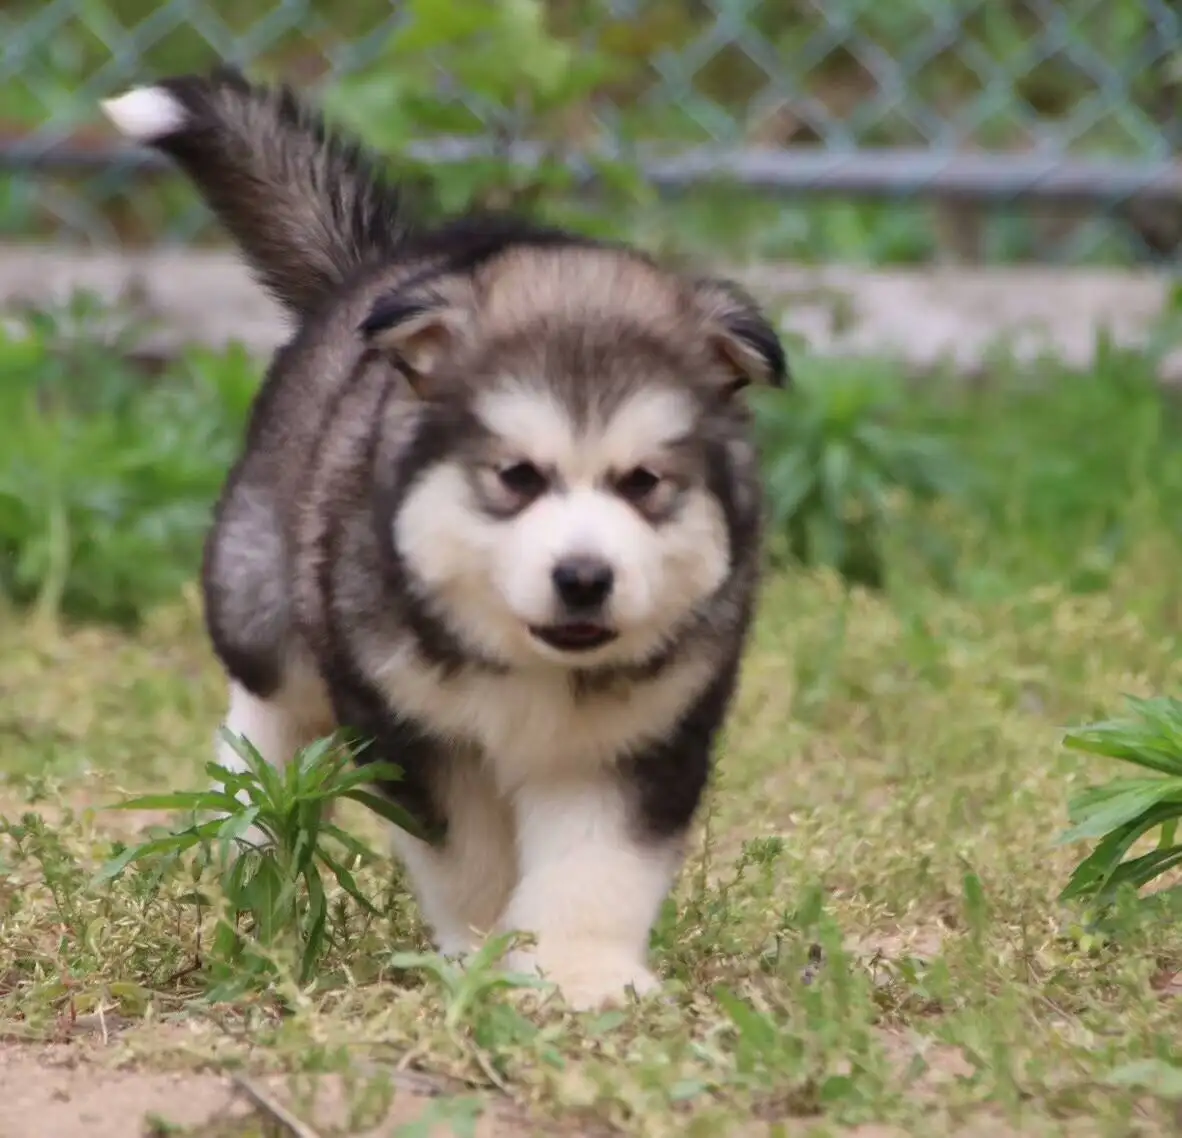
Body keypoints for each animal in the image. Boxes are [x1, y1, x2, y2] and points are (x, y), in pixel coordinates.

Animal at [99, 68, 784, 1016]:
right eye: (517, 476)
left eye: (643, 482)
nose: (583, 577)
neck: (535, 665)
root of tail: (374, 272)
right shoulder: (410, 727)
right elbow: (470, 855)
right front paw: (490, 954)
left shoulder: (646, 734)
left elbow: (601, 860)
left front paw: (580, 973)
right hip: (264, 598)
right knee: (270, 710)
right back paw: (253, 845)